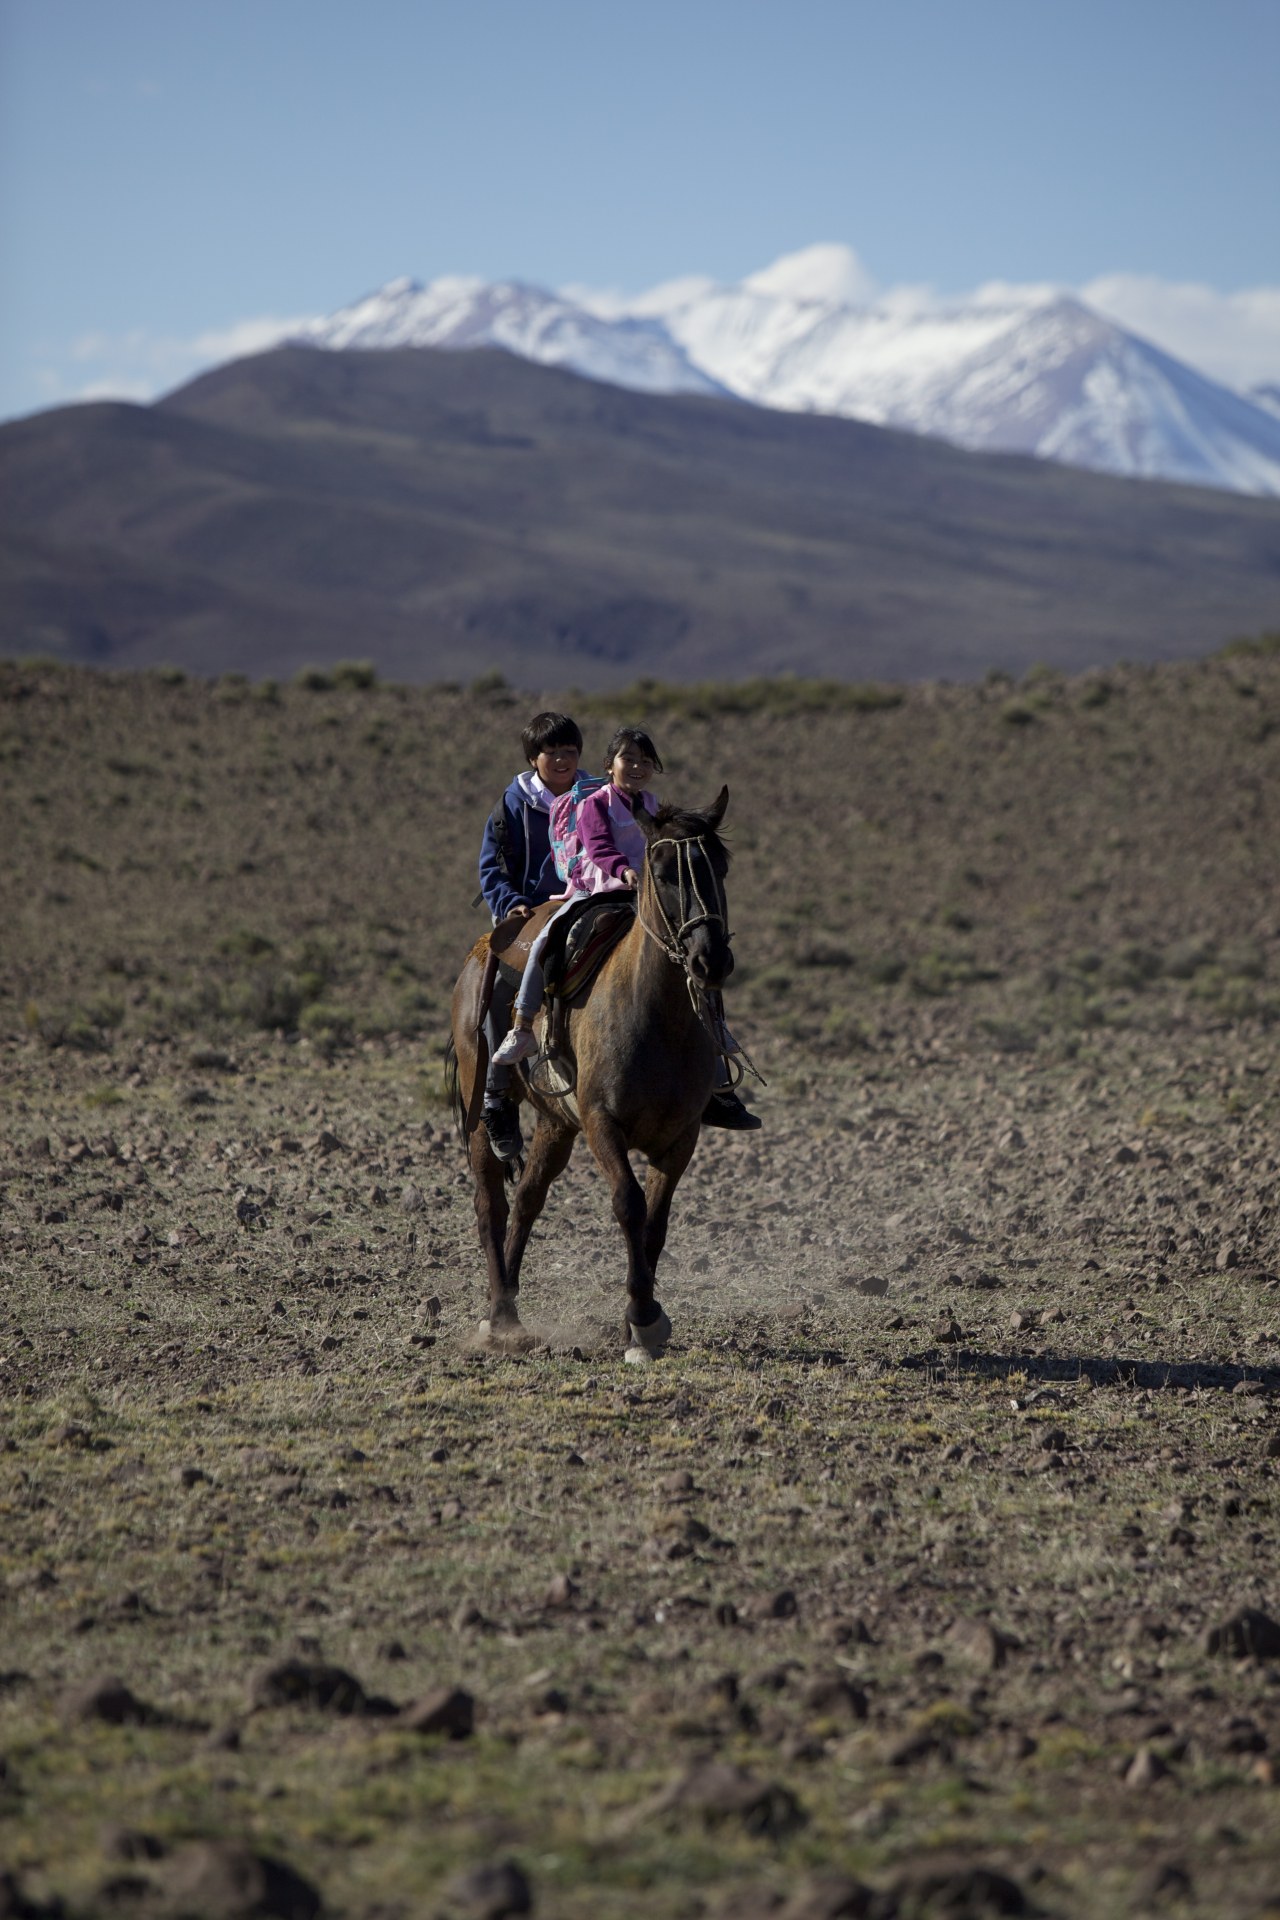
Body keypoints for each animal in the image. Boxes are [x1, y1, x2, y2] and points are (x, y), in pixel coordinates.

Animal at [450, 787, 736, 1359]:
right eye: (664, 871)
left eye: (720, 866)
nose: (710, 960)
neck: (659, 1019)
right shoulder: (603, 1124)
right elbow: (628, 1204)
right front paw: (643, 1322)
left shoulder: (681, 1138)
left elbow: (655, 1223)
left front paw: (639, 1321)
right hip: (481, 1114)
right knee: (491, 1202)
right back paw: (499, 1316)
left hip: (557, 1124)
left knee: (528, 1198)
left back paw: (510, 1300)